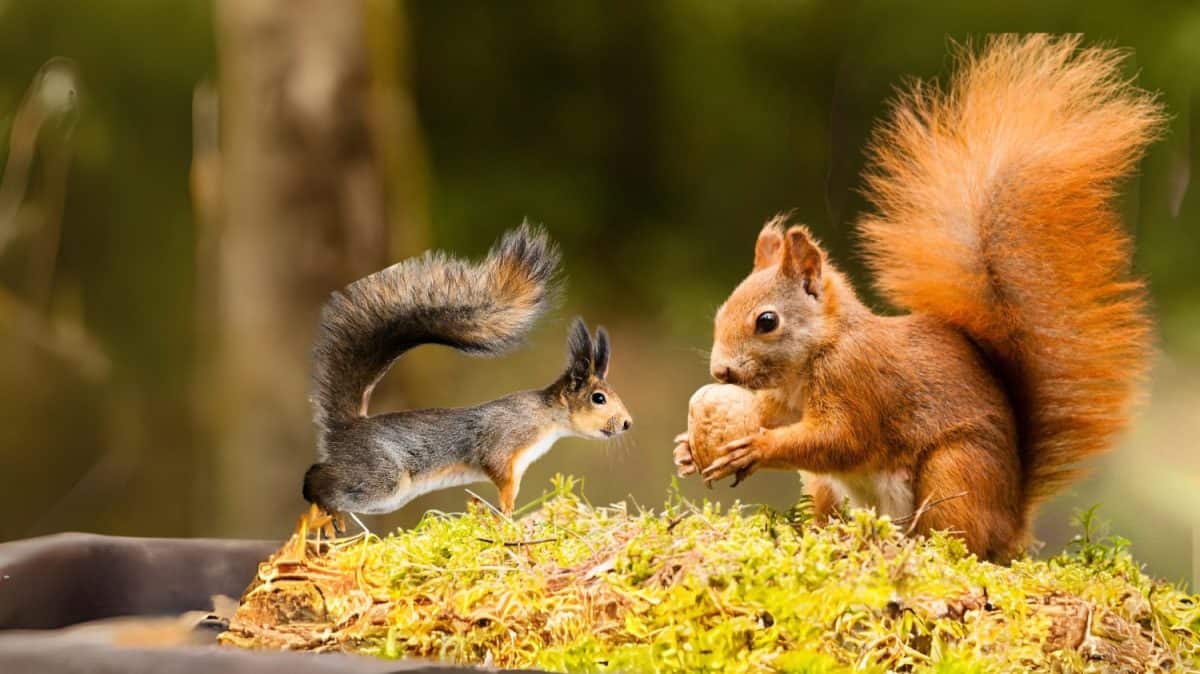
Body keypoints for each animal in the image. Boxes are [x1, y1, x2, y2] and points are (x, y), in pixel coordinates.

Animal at [676, 34, 1161, 558]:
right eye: (722, 312)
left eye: (767, 321)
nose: (720, 372)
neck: (817, 352)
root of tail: (1012, 521)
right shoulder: (785, 401)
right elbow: (772, 415)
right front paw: (686, 448)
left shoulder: (857, 381)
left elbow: (840, 439)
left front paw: (756, 447)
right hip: (831, 488)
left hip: (955, 470)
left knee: (958, 539)